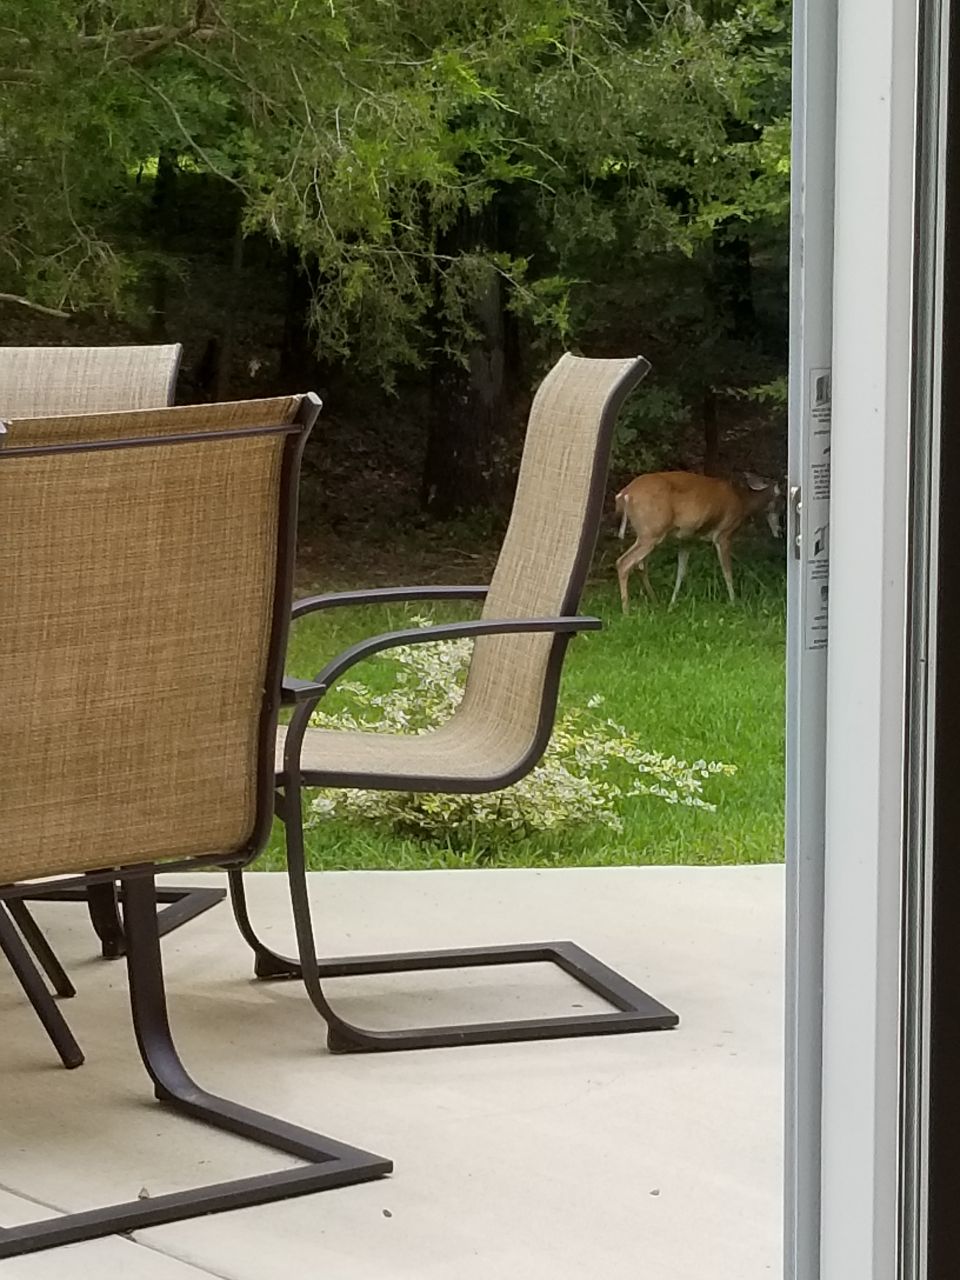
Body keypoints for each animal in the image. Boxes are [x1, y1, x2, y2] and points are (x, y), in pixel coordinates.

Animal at [614, 470, 782, 612]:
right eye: (780, 496)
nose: (780, 529)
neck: (742, 502)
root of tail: (625, 494)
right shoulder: (724, 534)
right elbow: (727, 571)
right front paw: (734, 603)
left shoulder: (687, 539)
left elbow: (681, 571)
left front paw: (672, 604)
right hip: (651, 532)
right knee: (624, 562)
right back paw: (626, 611)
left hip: (646, 532)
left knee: (639, 566)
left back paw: (656, 603)